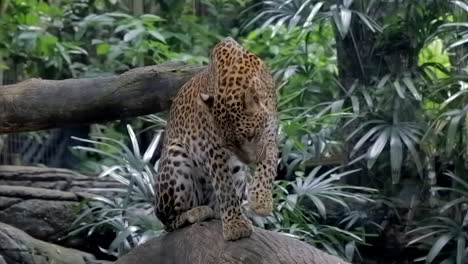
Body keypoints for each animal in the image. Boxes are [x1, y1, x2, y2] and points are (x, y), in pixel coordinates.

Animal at [154, 37, 278, 241]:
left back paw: (218, 211)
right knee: (167, 221)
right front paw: (235, 225)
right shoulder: (213, 147)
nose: (250, 161)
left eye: (251, 135)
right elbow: (224, 186)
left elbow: (269, 164)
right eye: (228, 143)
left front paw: (261, 200)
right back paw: (196, 212)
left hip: (237, 170)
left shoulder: (271, 130)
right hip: (175, 157)